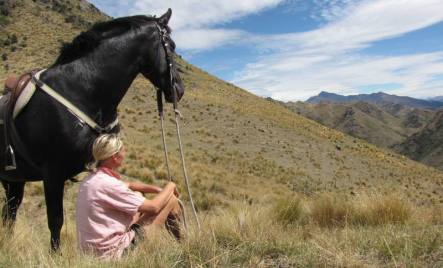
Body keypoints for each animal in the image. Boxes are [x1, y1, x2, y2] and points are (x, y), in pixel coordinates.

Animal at [0, 8, 184, 251]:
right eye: (171, 45)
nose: (179, 89)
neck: (81, 91)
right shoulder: (52, 174)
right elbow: (55, 220)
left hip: (14, 179)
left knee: (9, 212)